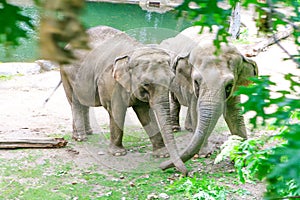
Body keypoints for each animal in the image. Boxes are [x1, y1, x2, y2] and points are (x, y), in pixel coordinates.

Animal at [59, 26, 188, 175]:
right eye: (146, 84)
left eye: (172, 79)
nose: (185, 173)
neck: (133, 52)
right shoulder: (110, 82)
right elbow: (116, 111)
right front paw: (118, 153)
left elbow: (145, 113)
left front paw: (162, 154)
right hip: (67, 73)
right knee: (75, 102)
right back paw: (80, 138)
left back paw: (88, 133)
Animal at [159, 26, 258, 170]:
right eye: (196, 82)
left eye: (229, 86)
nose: (161, 166)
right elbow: (196, 110)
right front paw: (204, 154)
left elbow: (234, 113)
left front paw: (243, 155)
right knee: (174, 98)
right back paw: (176, 128)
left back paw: (189, 129)